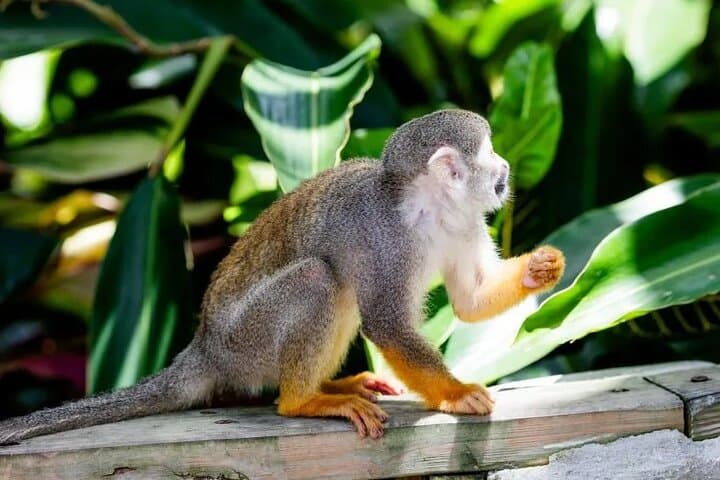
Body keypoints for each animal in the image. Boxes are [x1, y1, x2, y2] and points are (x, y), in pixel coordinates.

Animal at [0, 109, 564, 443]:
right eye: (490, 153)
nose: (506, 167)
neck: (430, 210)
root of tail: (204, 348)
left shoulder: (465, 222)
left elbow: (469, 300)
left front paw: (541, 269)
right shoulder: (387, 241)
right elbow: (386, 324)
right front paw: (454, 392)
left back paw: (328, 385)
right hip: (245, 343)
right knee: (319, 278)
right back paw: (301, 401)